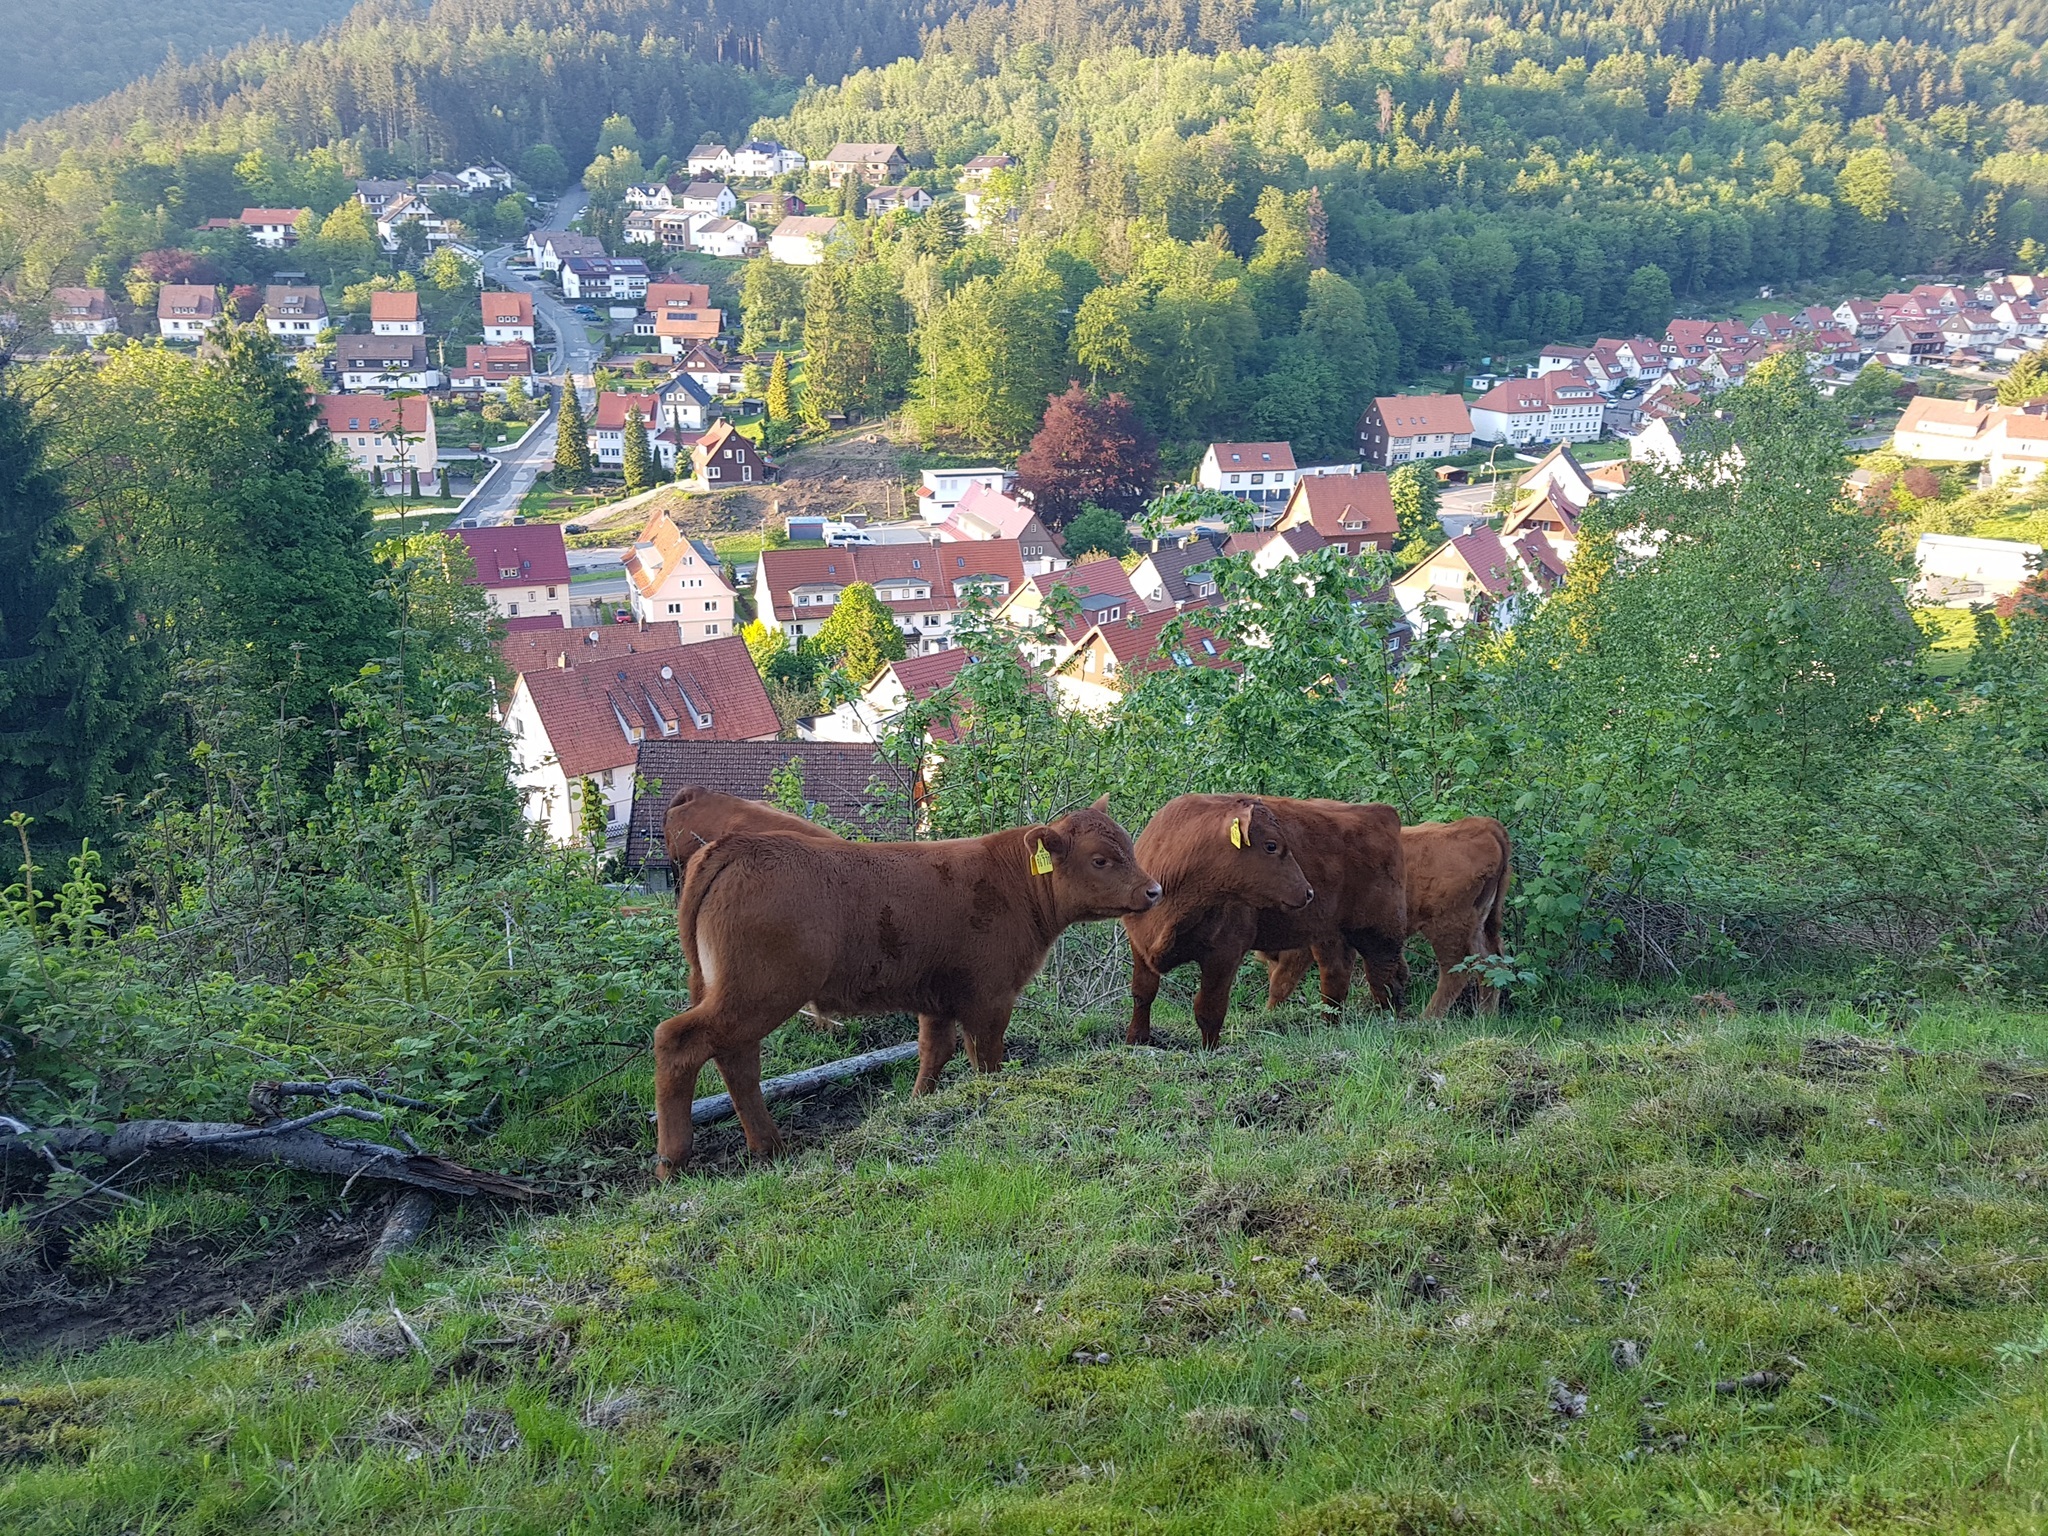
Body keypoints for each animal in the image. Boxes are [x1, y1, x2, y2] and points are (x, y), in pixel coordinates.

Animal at [652, 798, 1159, 1177]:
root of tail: (739, 845)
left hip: (733, 992)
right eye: (1100, 859)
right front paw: (989, 1101)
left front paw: (918, 1107)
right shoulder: (990, 995)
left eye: (1130, 848)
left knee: (737, 1060)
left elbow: (935, 1052)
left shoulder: (937, 997)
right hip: (758, 991)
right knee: (679, 1040)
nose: (1153, 890)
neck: (1015, 883)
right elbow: (986, 1058)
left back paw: (769, 1147)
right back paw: (673, 1161)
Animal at [1120, 795, 1330, 1050]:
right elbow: (1143, 993)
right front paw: (1136, 1040)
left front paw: (1209, 1049)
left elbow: (1210, 1007)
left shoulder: (1225, 953)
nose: (1309, 892)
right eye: (1271, 845)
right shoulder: (1139, 942)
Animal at [1263, 816, 1511, 1019]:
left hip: (1447, 928)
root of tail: (1482, 826)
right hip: (1479, 925)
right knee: (1491, 963)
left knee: (1456, 969)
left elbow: (1288, 978)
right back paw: (1485, 1017)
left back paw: (1427, 1019)